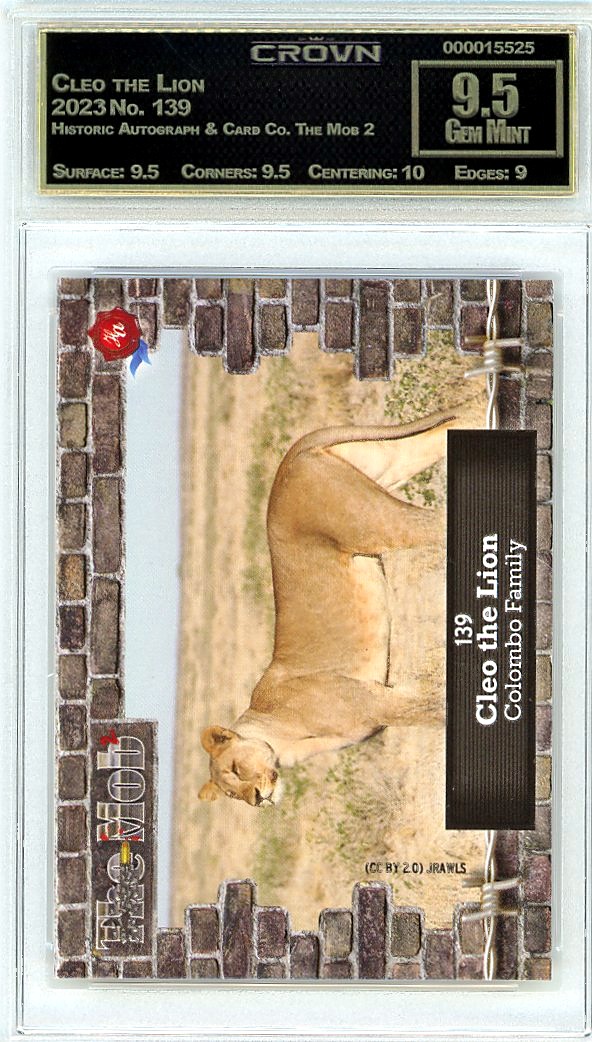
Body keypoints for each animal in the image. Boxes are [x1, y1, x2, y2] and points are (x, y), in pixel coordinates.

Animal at [198, 406, 481, 808]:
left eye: (236, 770)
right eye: (231, 794)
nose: (256, 799)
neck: (280, 738)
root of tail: (290, 458)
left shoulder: (373, 702)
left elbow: (435, 710)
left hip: (380, 522)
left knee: (437, 523)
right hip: (388, 464)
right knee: (447, 429)